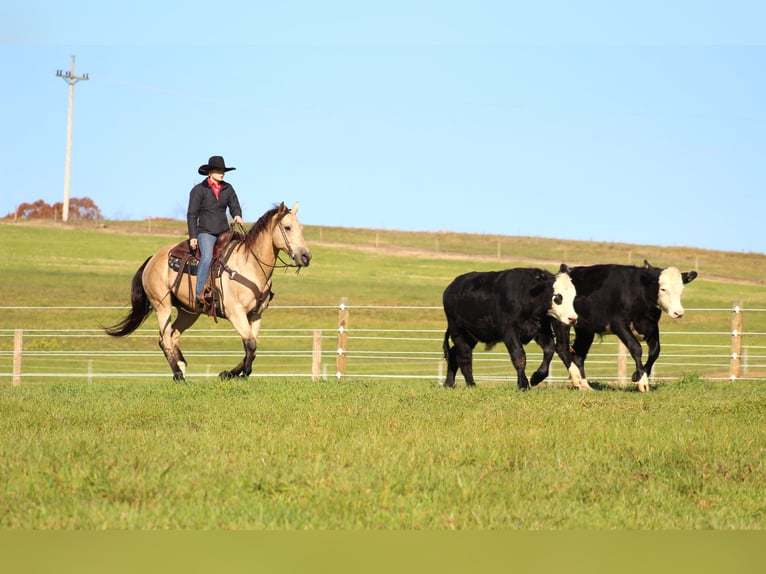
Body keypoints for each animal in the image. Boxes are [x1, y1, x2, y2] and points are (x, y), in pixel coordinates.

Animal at [105, 202, 312, 382]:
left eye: (301, 228)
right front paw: (242, 374)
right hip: (161, 306)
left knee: (173, 336)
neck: (249, 265)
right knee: (164, 339)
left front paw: (228, 373)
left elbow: (251, 345)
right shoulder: (235, 313)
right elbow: (250, 344)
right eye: (287, 227)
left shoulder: (255, 315)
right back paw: (178, 374)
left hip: (189, 312)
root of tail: (153, 258)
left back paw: (182, 367)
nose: (306, 256)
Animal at [440, 266, 580, 392]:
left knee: (453, 354)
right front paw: (523, 384)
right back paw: (471, 384)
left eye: (573, 296)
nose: (572, 318)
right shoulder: (509, 331)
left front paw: (536, 377)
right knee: (464, 356)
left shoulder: (541, 329)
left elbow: (549, 350)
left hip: (470, 335)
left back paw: (449, 384)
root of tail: (452, 287)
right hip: (457, 331)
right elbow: (519, 356)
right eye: (558, 296)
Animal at [556, 260, 700, 392]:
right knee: (562, 348)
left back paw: (585, 385)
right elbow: (636, 348)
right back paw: (576, 378)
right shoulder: (619, 324)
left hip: (585, 330)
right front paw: (642, 380)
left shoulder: (652, 326)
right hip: (563, 322)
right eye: (663, 288)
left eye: (681, 289)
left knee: (578, 355)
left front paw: (638, 375)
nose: (678, 312)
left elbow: (655, 351)